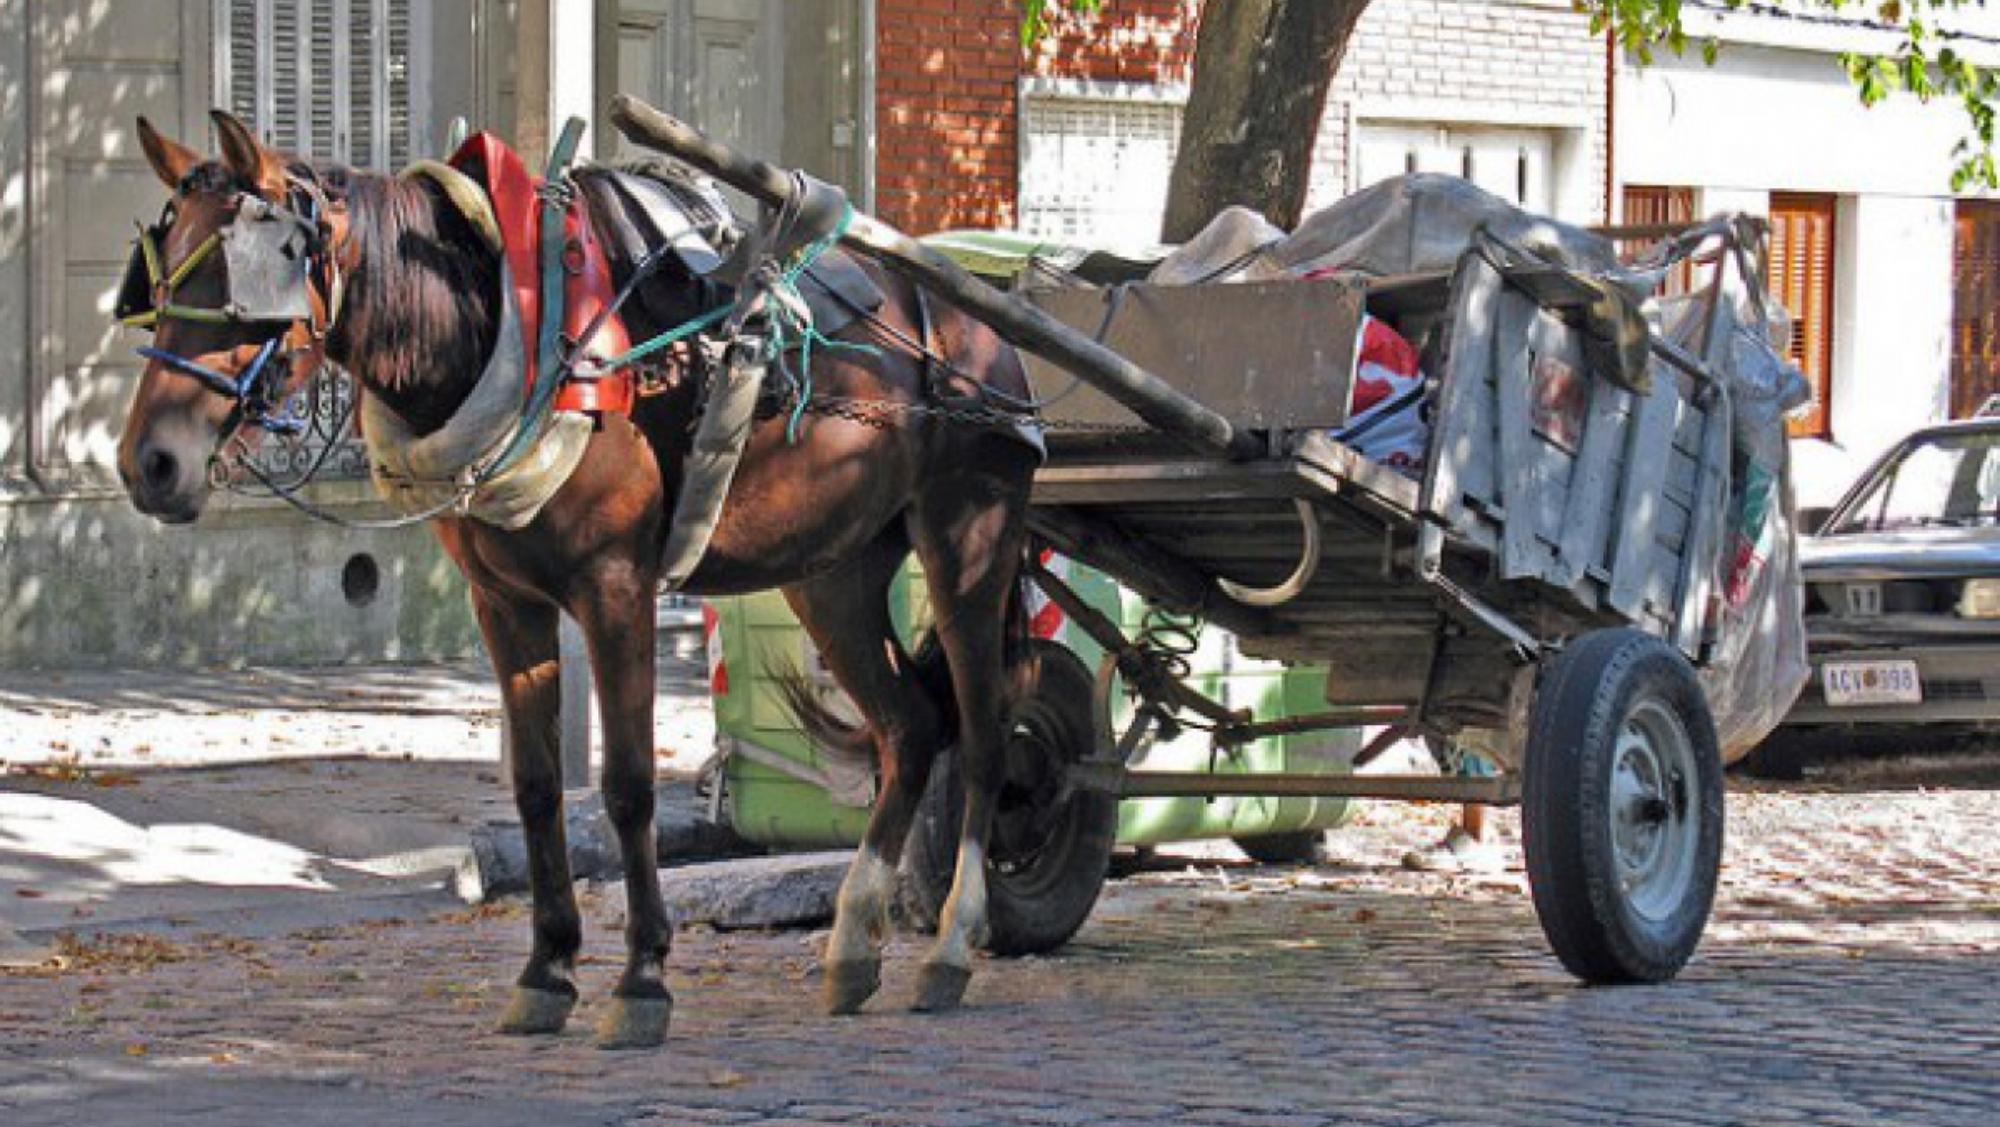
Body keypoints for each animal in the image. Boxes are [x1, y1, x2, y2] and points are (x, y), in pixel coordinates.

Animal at [113, 112, 1048, 1047]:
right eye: (156, 280)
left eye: (245, 282)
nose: (149, 463)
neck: (513, 332)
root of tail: (979, 328)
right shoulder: (506, 602)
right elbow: (534, 788)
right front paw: (548, 968)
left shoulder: (615, 589)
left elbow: (628, 785)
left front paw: (642, 978)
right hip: (833, 568)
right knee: (910, 728)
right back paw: (853, 943)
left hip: (968, 539)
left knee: (984, 735)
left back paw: (951, 947)